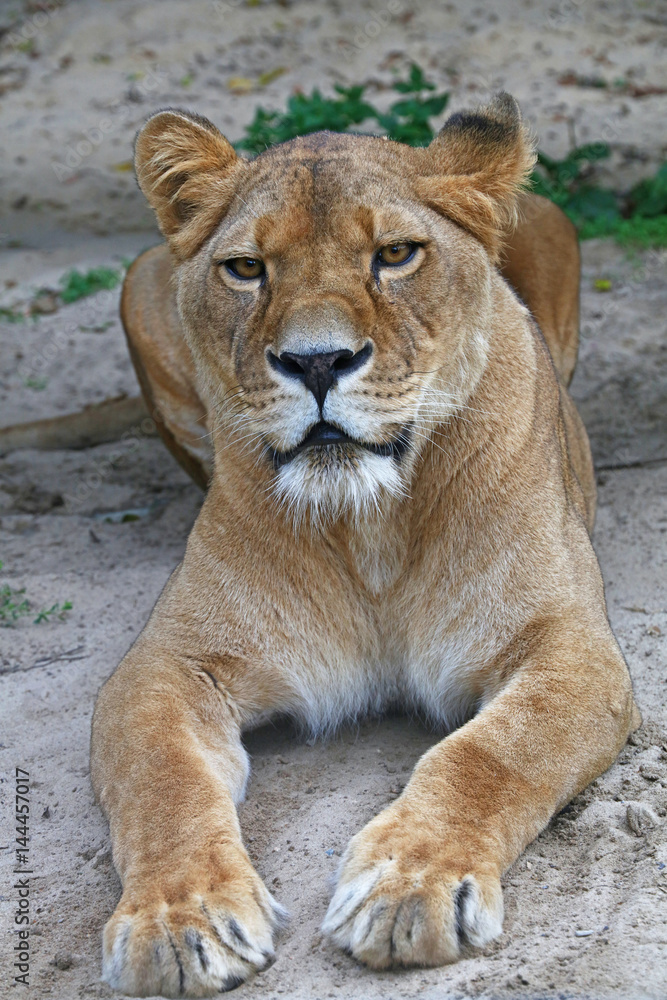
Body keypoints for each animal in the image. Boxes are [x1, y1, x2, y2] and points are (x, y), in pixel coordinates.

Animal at [90, 94, 640, 998]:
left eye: (394, 255)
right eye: (245, 269)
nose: (317, 362)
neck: (369, 526)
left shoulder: (572, 648)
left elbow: (488, 754)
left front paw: (410, 887)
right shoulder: (166, 663)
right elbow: (160, 778)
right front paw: (178, 920)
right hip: (140, 282)